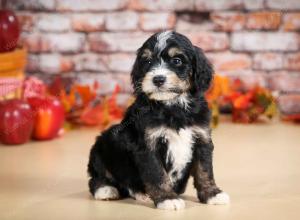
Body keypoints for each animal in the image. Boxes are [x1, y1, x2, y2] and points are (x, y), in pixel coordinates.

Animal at [86, 30, 230, 210]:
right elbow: (157, 173)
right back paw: (106, 190)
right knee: (96, 177)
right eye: (147, 61)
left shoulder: (202, 139)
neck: (173, 105)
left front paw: (212, 194)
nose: (158, 79)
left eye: (177, 61)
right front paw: (168, 198)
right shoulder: (148, 145)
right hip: (103, 145)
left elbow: (204, 170)